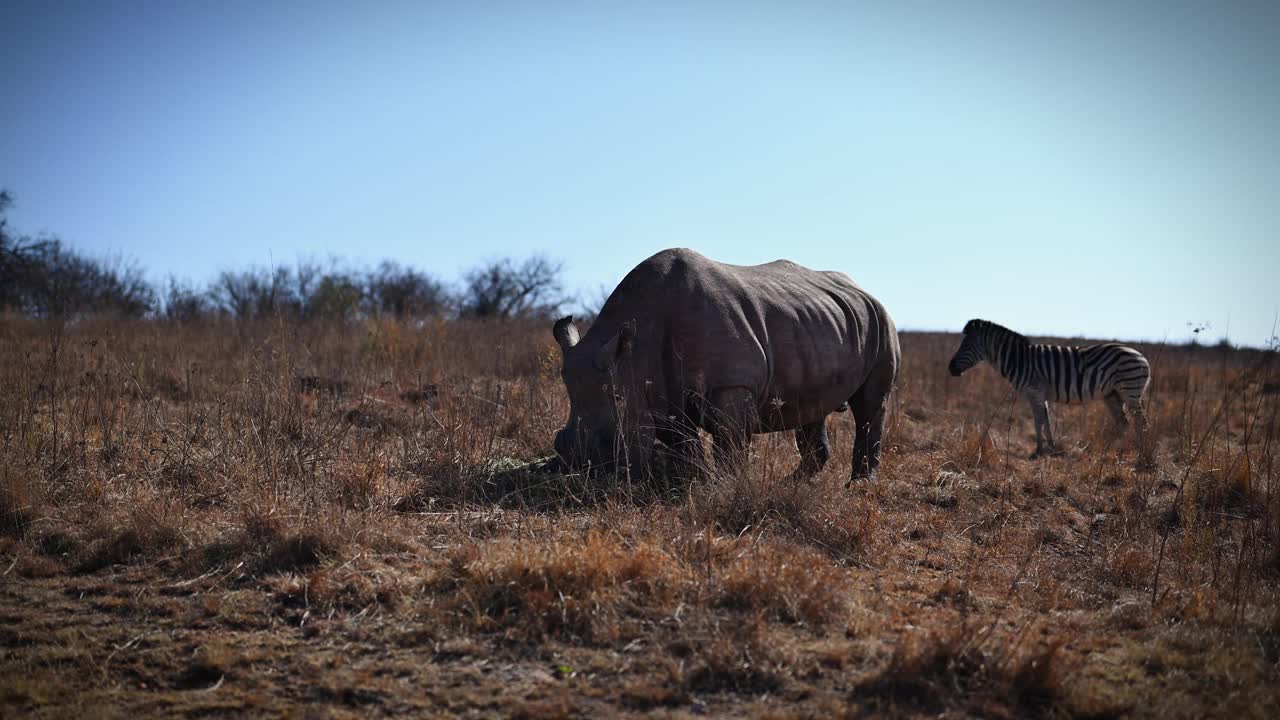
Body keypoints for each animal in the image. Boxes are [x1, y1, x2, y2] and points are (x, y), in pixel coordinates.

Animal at [550, 248, 901, 481]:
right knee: (813, 407)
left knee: (870, 405)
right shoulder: (663, 392)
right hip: (821, 325)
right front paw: (694, 481)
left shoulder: (731, 384)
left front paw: (729, 486)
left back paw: (858, 488)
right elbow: (685, 445)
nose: (580, 463)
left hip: (882, 322)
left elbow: (729, 444)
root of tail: (862, 289)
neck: (636, 349)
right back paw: (792, 485)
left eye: (616, 398)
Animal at [952, 317, 1152, 456]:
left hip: (1130, 390)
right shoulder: (1042, 395)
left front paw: (1038, 451)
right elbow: (1046, 421)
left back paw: (1141, 455)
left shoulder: (1035, 392)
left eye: (966, 345)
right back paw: (1108, 449)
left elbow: (1038, 420)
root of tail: (1142, 357)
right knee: (1124, 422)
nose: (950, 368)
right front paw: (1051, 448)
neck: (1020, 360)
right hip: (1112, 394)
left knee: (1141, 422)